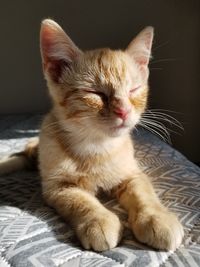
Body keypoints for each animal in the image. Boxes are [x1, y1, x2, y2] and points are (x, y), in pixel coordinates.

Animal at [0, 19, 184, 253]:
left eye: (134, 90)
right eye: (95, 93)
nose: (124, 111)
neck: (97, 146)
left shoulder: (132, 173)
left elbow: (144, 193)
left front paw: (157, 217)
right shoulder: (58, 187)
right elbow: (81, 201)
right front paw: (99, 220)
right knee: (20, 156)